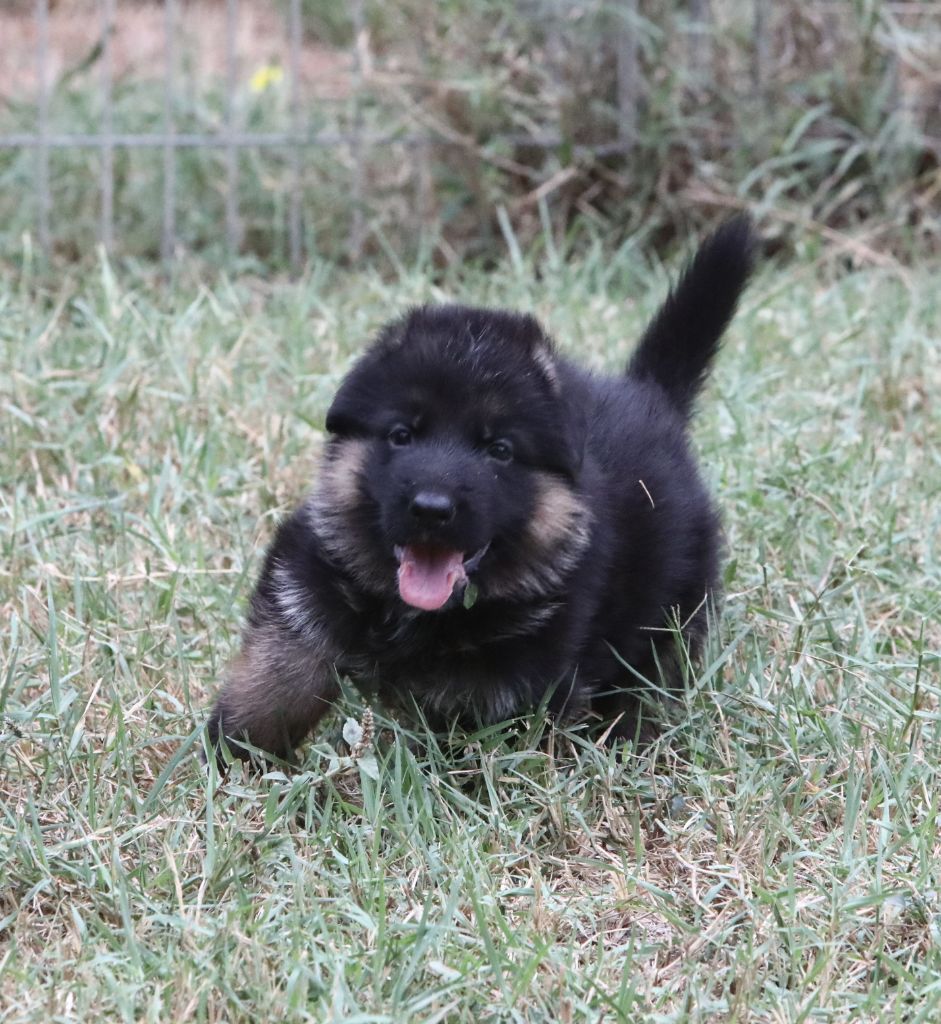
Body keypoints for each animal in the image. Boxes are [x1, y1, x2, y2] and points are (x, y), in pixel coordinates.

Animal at [207, 216, 757, 761]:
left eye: (500, 450)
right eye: (402, 435)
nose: (432, 509)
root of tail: (651, 396)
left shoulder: (515, 682)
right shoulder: (304, 587)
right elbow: (279, 677)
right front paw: (234, 754)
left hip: (671, 610)